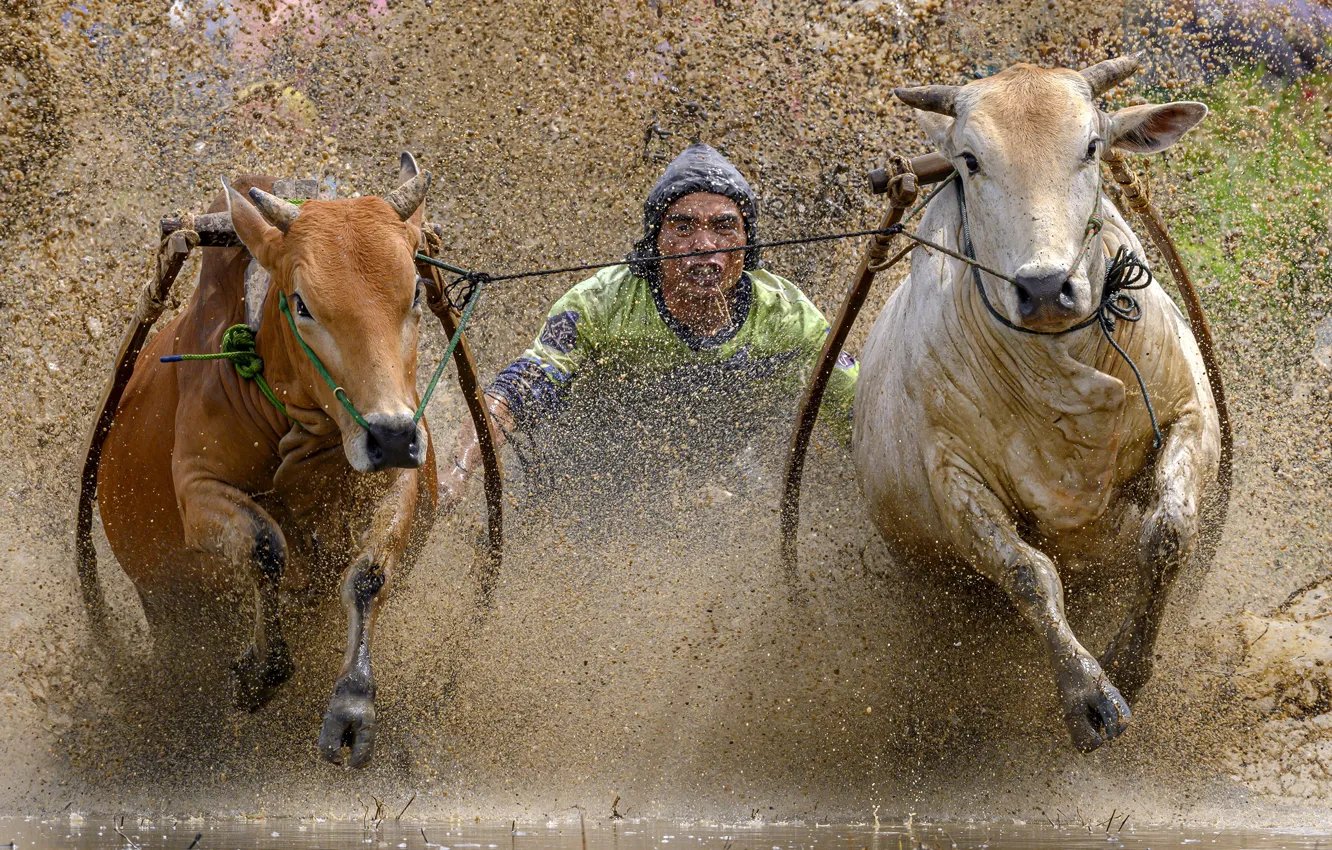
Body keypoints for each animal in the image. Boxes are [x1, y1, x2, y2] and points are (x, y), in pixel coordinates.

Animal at [94, 154, 439, 768]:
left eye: (416, 294)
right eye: (302, 304)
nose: (391, 436)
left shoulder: (400, 476)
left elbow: (367, 575)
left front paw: (352, 705)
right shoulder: (196, 492)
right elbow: (266, 545)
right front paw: (258, 672)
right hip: (162, 607)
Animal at [853, 57, 1221, 751]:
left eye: (1093, 146)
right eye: (970, 160)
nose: (1047, 287)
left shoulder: (1190, 414)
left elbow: (1167, 534)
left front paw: (1128, 664)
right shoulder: (953, 479)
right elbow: (1029, 574)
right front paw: (1089, 698)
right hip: (923, 582)